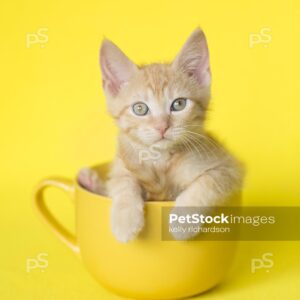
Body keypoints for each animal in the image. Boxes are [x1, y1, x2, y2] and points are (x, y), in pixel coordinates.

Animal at [78, 28, 244, 243]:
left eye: (179, 104)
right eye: (140, 108)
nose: (162, 127)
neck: (161, 159)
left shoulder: (229, 168)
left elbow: (208, 182)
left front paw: (183, 221)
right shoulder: (124, 162)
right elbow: (122, 181)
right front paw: (125, 219)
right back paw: (89, 179)